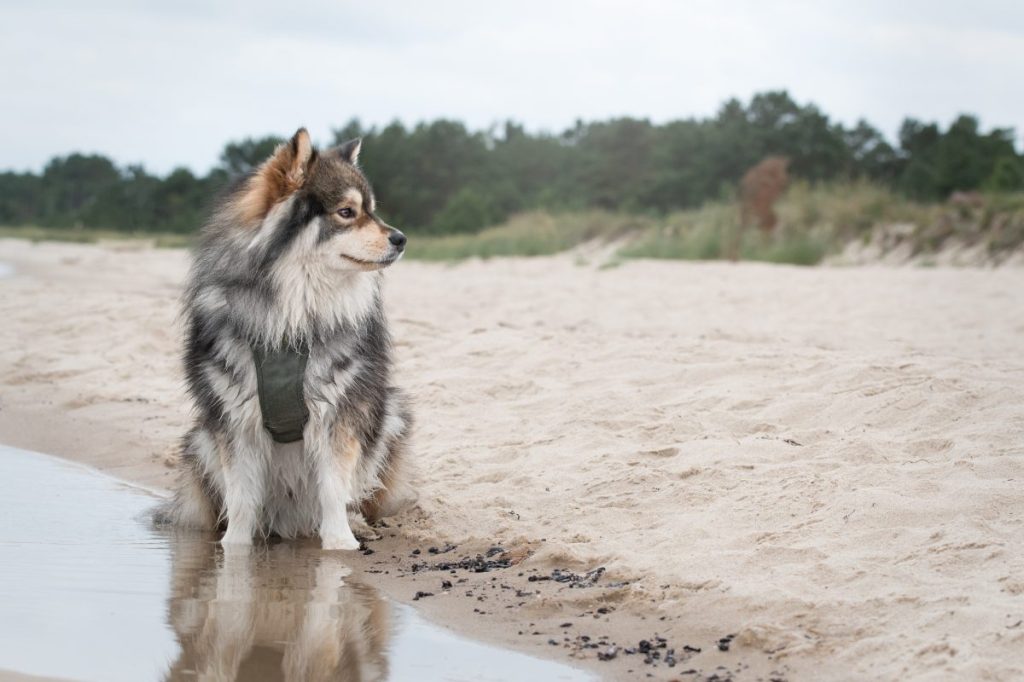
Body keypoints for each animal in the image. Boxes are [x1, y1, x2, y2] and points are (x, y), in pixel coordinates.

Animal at [157, 127, 413, 548]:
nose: (401, 238)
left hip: (391, 414)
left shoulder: (338, 413)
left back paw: (357, 522)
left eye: (371, 210)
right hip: (199, 439)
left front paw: (341, 545)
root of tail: (290, 524)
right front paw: (234, 552)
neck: (293, 313)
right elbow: (241, 497)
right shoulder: (236, 420)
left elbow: (334, 488)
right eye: (347, 212)